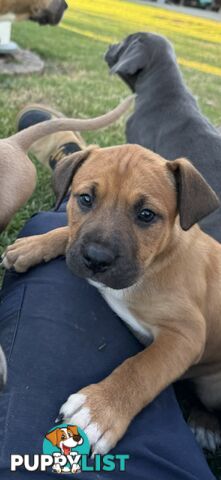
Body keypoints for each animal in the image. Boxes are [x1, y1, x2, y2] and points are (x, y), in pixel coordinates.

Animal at [3, 143, 221, 454]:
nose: (96, 258)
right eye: (85, 199)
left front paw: (99, 409)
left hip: (213, 387)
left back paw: (205, 425)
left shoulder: (186, 335)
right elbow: (70, 235)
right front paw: (33, 246)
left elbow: (142, 367)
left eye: (146, 215)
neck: (155, 261)